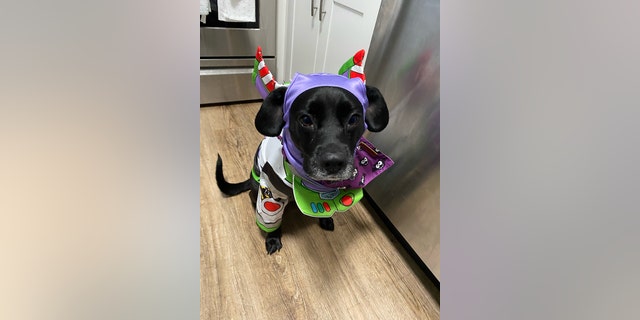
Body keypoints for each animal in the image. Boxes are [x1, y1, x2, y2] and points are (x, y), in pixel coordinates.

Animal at [218, 79, 388, 252]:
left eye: (353, 119)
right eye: (306, 120)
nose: (334, 163)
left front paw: (326, 219)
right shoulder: (271, 190)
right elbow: (270, 218)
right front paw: (273, 238)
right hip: (256, 185)